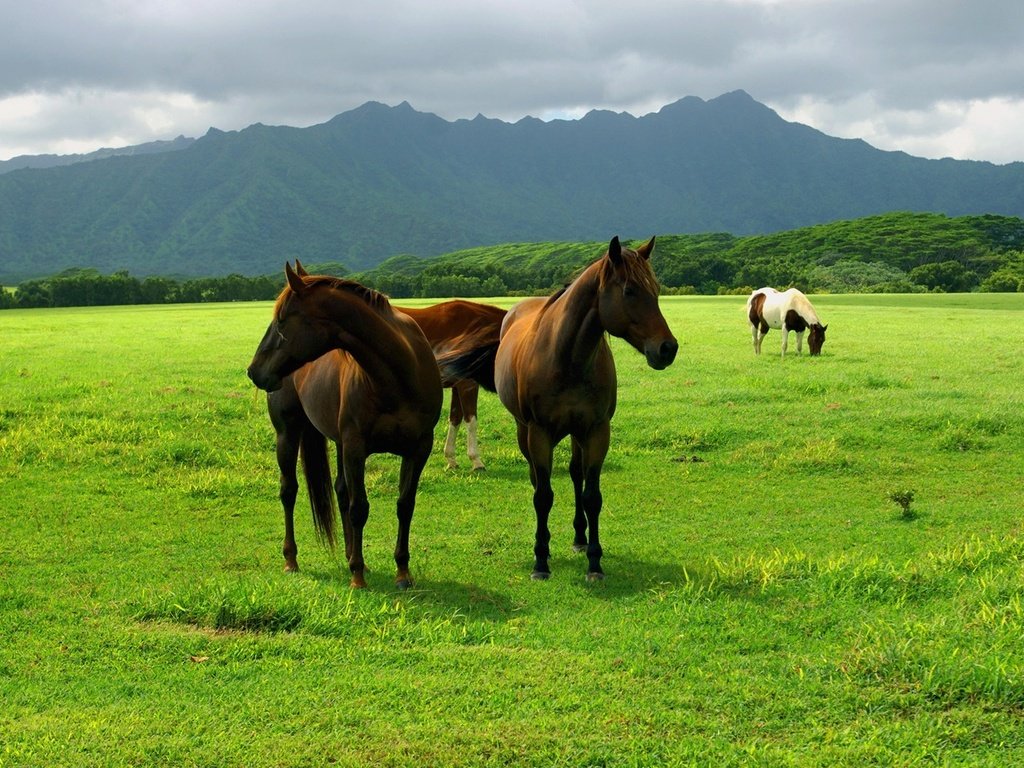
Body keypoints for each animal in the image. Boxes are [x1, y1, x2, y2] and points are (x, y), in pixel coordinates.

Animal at [248, 264, 444, 589]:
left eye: (281, 320)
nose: (254, 371)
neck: (398, 376)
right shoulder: (356, 447)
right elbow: (359, 508)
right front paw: (358, 576)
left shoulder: (418, 449)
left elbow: (405, 505)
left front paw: (402, 572)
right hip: (288, 434)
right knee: (289, 491)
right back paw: (292, 559)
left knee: (340, 490)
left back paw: (351, 553)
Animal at [395, 303, 507, 473]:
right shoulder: (468, 384)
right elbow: (471, 420)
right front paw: (476, 461)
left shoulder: (457, 385)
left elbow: (455, 419)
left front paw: (451, 459)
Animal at [442, 237, 679, 581]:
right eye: (629, 290)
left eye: (656, 289)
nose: (667, 348)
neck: (567, 358)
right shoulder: (539, 433)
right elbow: (543, 495)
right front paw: (541, 560)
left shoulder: (596, 431)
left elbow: (592, 496)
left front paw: (594, 561)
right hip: (525, 431)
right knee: (536, 480)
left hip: (577, 434)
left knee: (576, 475)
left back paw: (579, 538)